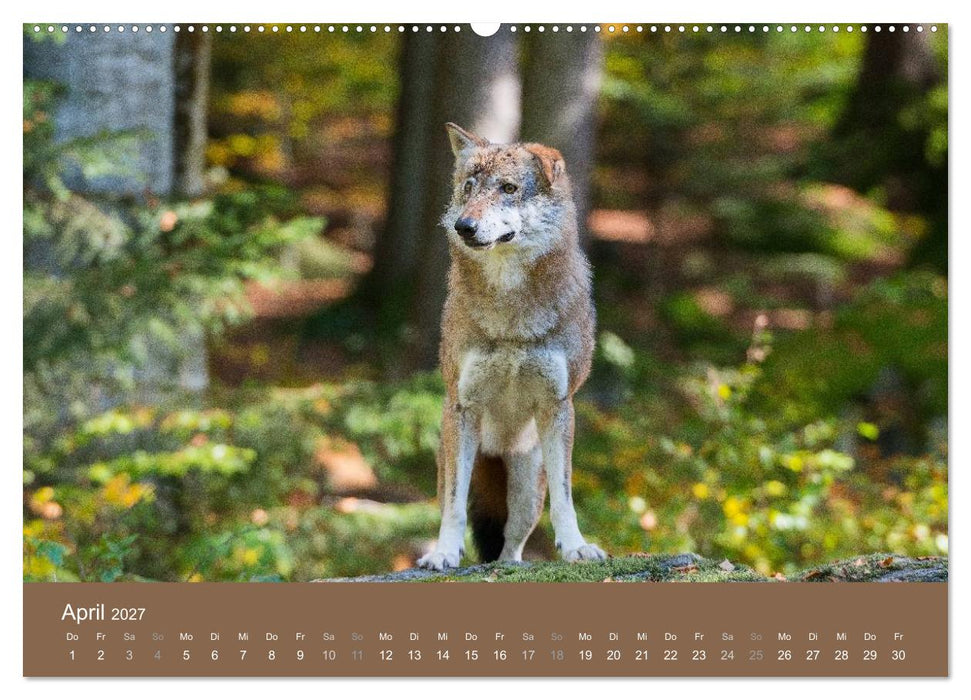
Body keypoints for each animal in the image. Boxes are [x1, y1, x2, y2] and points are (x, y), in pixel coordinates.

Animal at [417, 122, 606, 571]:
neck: (511, 319)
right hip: (455, 456)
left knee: (511, 546)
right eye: (468, 188)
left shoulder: (558, 405)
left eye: (507, 188)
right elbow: (454, 508)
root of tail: (497, 448)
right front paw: (444, 553)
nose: (464, 226)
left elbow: (566, 499)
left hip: (527, 490)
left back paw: (510, 566)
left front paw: (576, 547)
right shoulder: (462, 406)